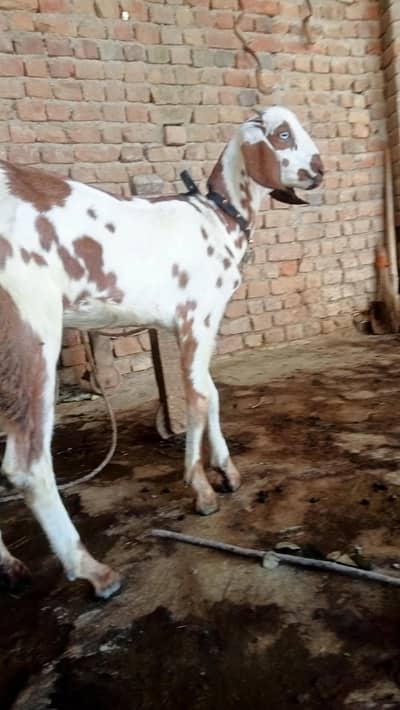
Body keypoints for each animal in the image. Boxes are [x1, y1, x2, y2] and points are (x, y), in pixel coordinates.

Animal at [0, 106, 323, 598]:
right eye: (283, 134)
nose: (320, 169)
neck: (217, 218)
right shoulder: (195, 318)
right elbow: (197, 399)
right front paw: (201, 487)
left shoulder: (201, 322)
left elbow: (211, 392)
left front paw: (226, 470)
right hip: (29, 325)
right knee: (27, 465)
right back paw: (94, 571)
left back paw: (9, 565)